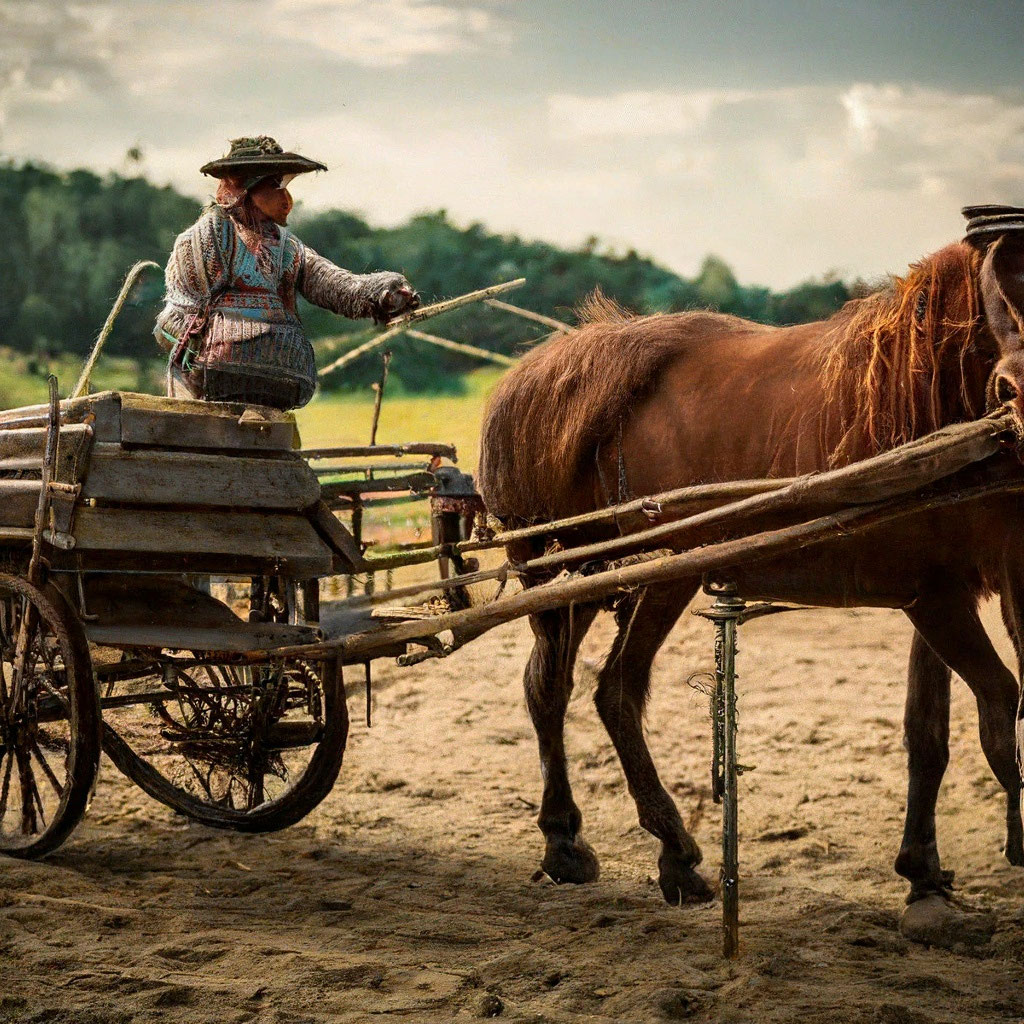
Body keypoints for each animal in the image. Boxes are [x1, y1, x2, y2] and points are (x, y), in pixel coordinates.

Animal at [479, 228, 1024, 933]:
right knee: (611, 690)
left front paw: (924, 877)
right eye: (999, 291)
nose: (1018, 392)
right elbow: (1000, 702)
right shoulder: (937, 600)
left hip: (592, 575)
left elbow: (928, 733)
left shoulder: (943, 591)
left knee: (550, 686)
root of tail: (538, 376)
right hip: (651, 572)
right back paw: (673, 854)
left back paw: (566, 842)